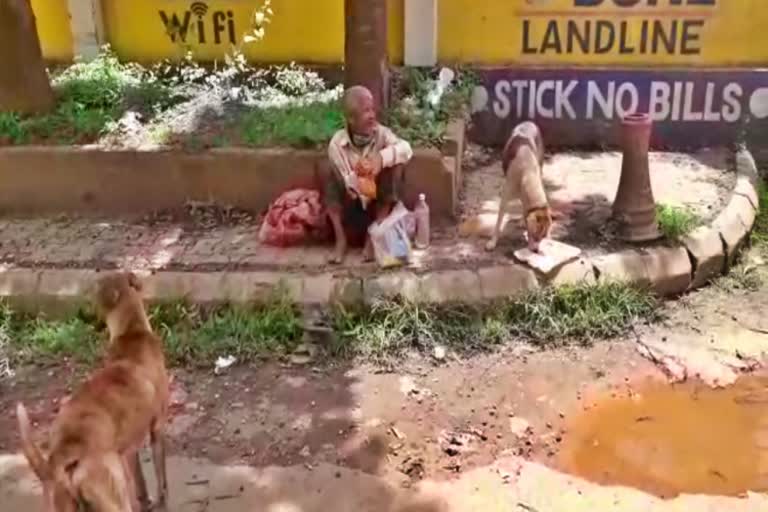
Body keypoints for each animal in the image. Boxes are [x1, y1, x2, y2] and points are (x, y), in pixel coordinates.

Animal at [16, 270, 170, 510]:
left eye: (91, 294)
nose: (79, 312)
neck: (131, 331)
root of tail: (63, 456)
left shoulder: (130, 450)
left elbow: (141, 482)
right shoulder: (157, 427)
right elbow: (160, 476)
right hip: (114, 490)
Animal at [486, 120, 552, 252]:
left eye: (543, 237)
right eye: (535, 235)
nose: (536, 250)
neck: (527, 173)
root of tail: (528, 122)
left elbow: (525, 213)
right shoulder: (504, 200)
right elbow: (498, 223)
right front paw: (492, 242)